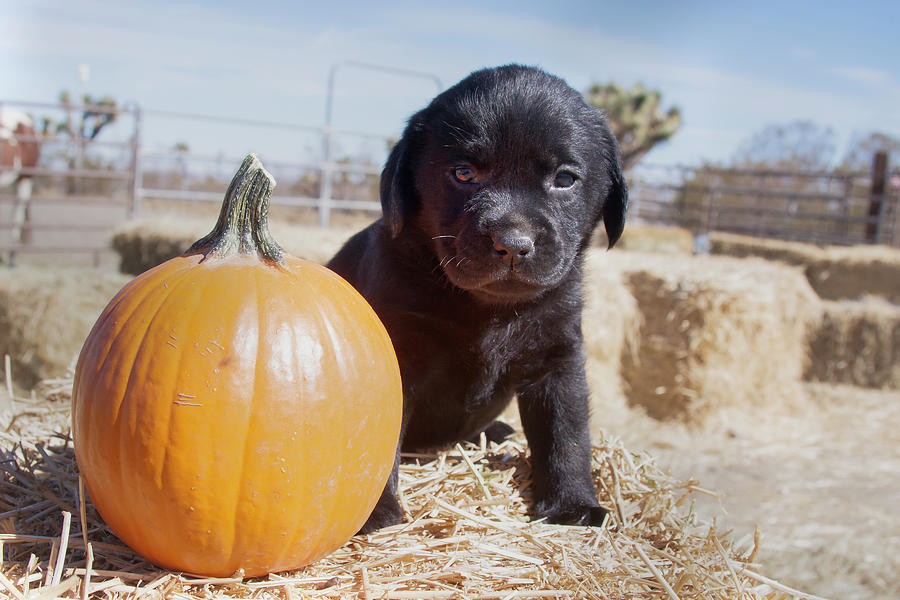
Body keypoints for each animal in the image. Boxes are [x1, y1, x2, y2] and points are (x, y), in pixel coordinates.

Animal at [326, 65, 628, 532]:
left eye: (564, 179)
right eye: (464, 174)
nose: (513, 244)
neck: (487, 310)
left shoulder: (558, 357)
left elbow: (567, 433)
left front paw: (573, 506)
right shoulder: (396, 355)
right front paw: (374, 511)